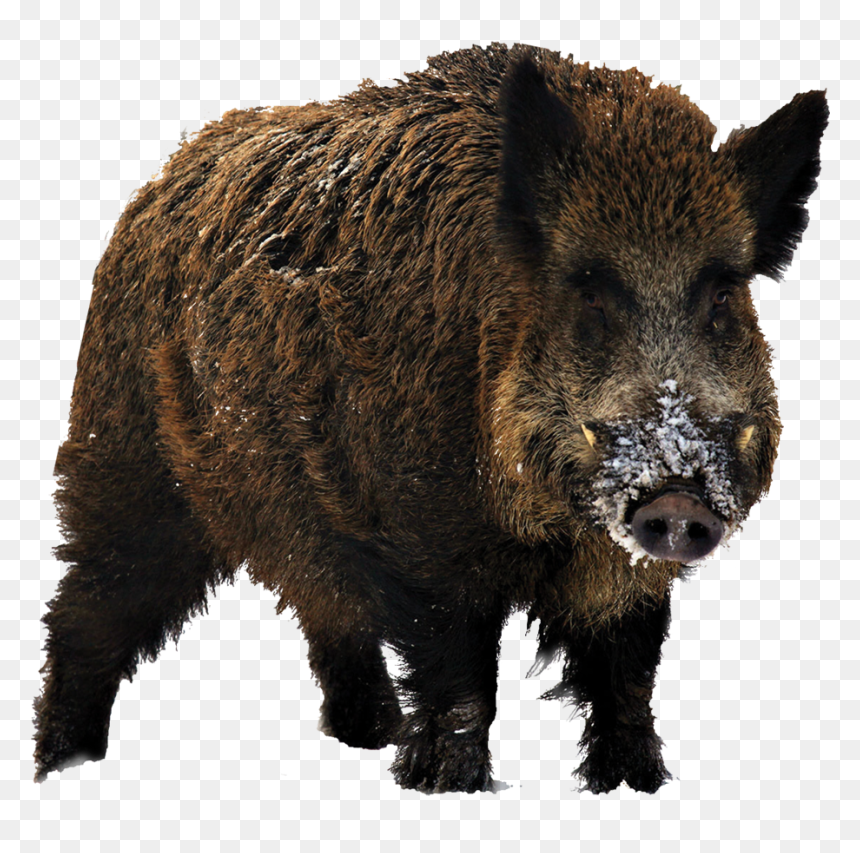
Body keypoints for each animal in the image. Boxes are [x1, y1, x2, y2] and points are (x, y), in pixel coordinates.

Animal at [34, 42, 827, 793]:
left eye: (722, 292)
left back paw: (369, 736)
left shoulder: (621, 575)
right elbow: (461, 684)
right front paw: (448, 787)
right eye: (589, 288)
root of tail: (161, 181)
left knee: (326, 612)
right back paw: (63, 766)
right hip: (129, 463)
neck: (550, 525)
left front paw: (636, 786)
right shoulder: (424, 536)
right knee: (86, 612)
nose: (677, 499)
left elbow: (626, 682)